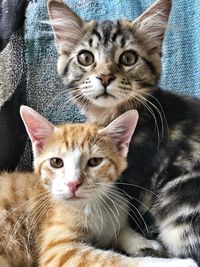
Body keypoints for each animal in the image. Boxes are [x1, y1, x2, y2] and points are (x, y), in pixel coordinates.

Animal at [0, 107, 195, 267]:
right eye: (56, 162)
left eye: (95, 161)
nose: (73, 183)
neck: (94, 206)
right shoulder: (58, 251)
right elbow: (112, 259)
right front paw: (178, 263)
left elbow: (120, 229)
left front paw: (143, 242)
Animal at [47, 0, 200, 264]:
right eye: (85, 58)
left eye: (128, 58)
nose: (105, 76)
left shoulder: (134, 179)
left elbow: (122, 214)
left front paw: (138, 243)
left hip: (180, 203)